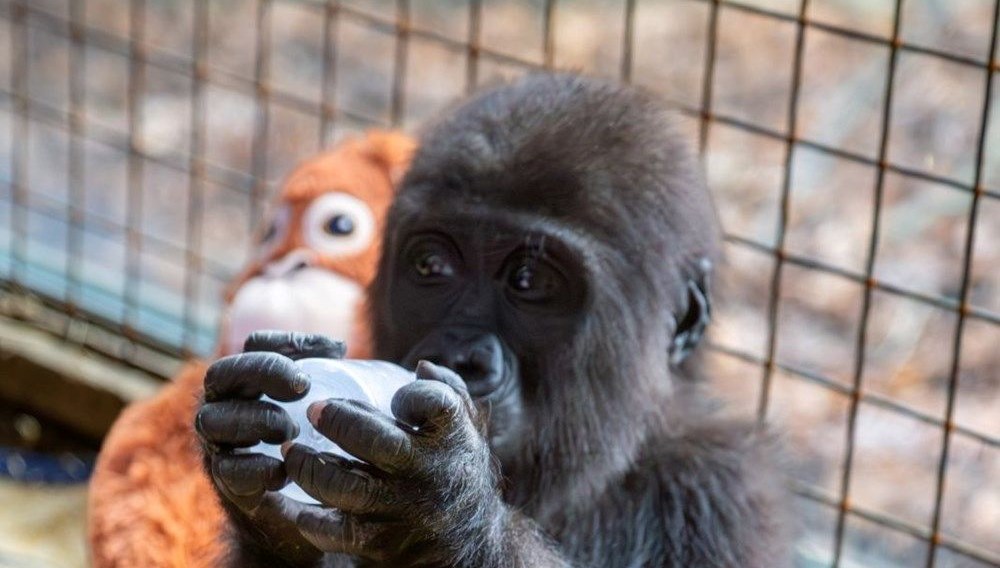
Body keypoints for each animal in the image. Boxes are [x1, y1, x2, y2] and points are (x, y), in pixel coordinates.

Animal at [195, 73, 788, 564]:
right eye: (432, 266)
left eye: (529, 281)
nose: (460, 355)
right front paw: (260, 508)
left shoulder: (715, 493)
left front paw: (441, 509)